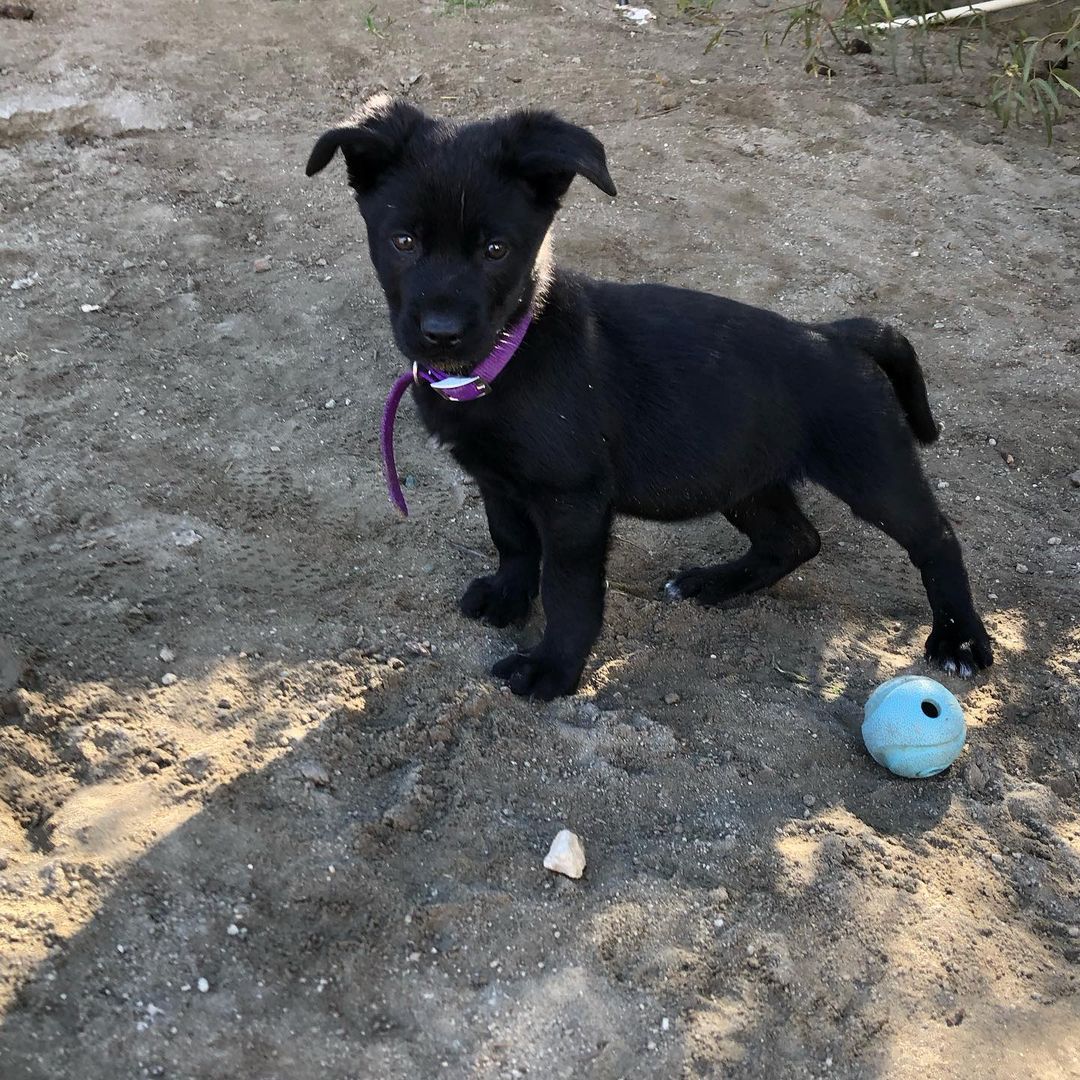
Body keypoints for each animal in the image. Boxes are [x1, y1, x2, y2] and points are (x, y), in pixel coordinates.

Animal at [308, 95, 989, 699]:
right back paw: (715, 585)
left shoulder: (573, 500)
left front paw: (553, 669)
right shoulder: (497, 480)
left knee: (935, 537)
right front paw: (507, 596)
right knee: (794, 538)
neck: (510, 353)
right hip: (740, 474)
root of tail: (834, 334)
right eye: (402, 242)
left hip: (869, 465)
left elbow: (570, 589)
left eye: (496, 250)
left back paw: (960, 640)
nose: (442, 333)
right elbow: (512, 540)